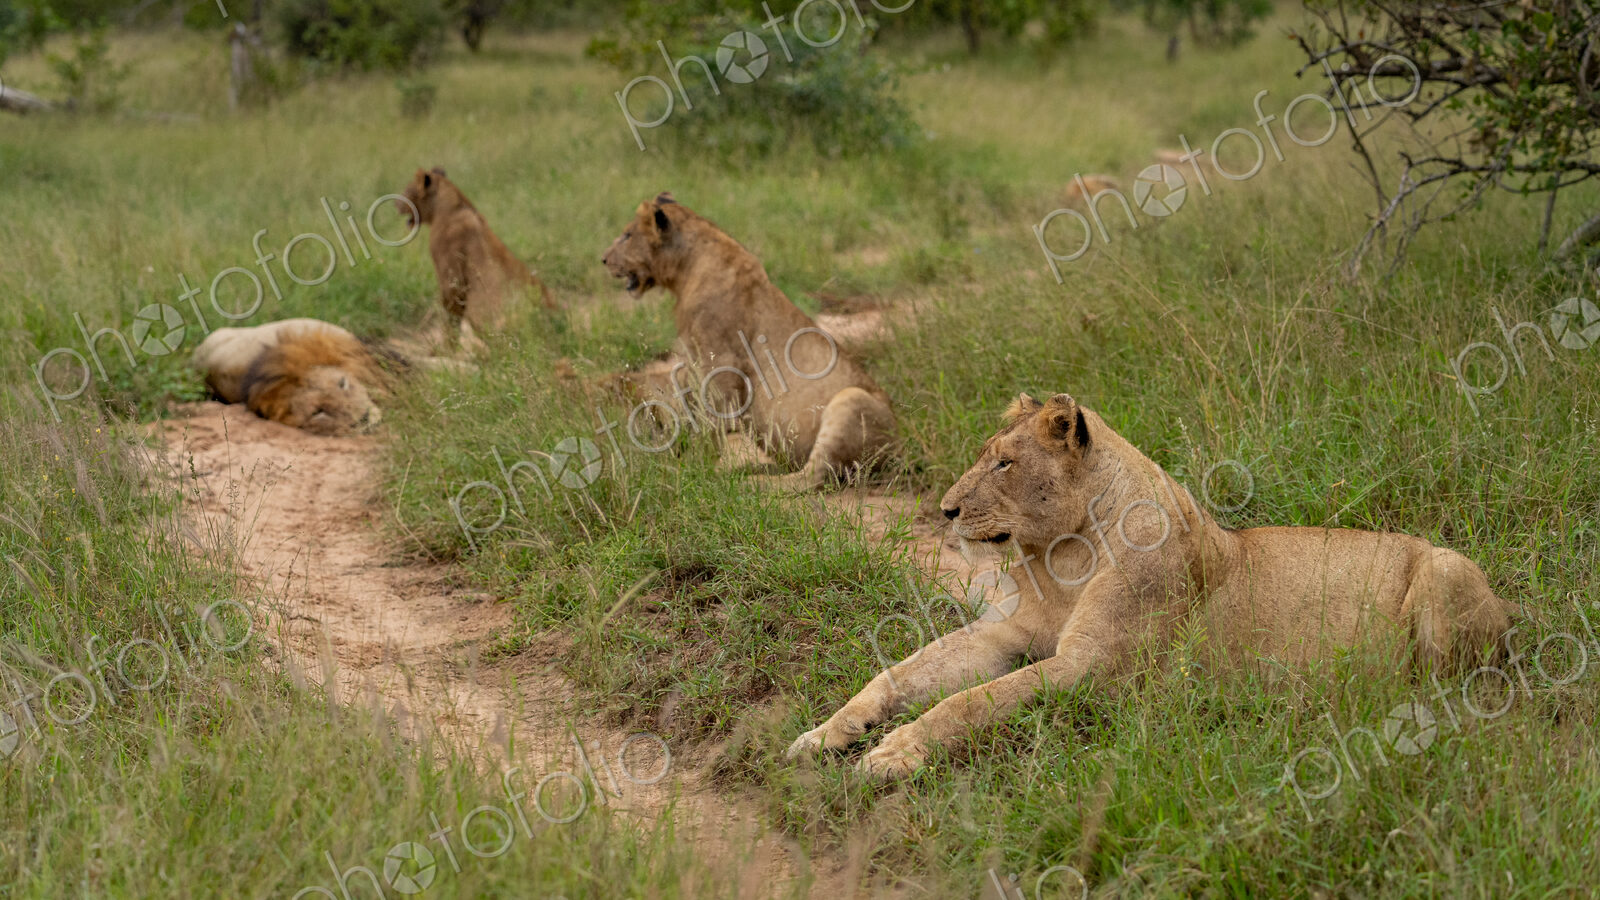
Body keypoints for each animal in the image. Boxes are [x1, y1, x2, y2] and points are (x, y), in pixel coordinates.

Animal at [601, 193, 896, 487]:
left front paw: (695, 468)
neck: (685, 271)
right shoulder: (694, 362)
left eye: (627, 235)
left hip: (850, 399)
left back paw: (751, 482)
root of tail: (901, 445)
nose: (603, 259)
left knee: (810, 477)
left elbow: (710, 421)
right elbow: (679, 398)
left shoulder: (721, 363)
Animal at [788, 392, 1514, 778]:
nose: (944, 510)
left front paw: (893, 754)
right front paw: (825, 735)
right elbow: (898, 675)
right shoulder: (1007, 632)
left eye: (1005, 463)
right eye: (986, 456)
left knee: (1453, 694)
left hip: (1445, 568)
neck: (1064, 555)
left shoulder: (1090, 667)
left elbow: (966, 704)